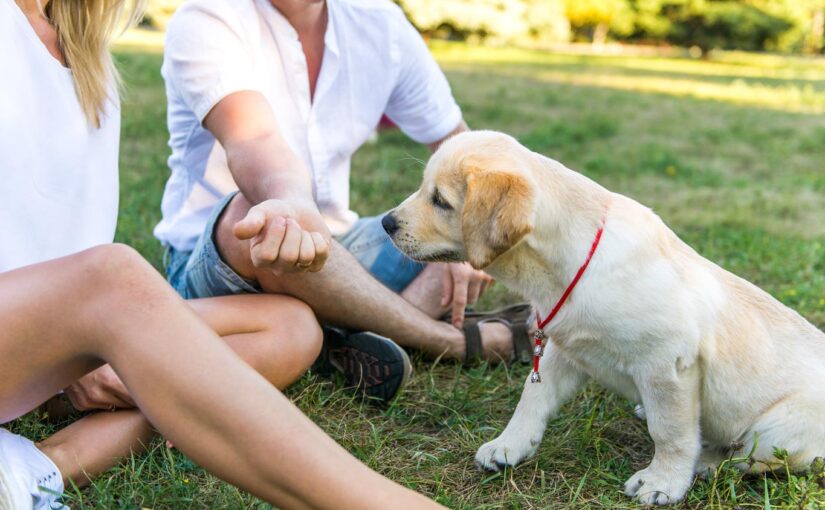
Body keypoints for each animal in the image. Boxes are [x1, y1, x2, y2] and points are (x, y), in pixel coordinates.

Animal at [384, 129, 824, 504]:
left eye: (440, 200)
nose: (387, 223)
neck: (573, 264)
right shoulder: (565, 348)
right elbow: (531, 397)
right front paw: (508, 445)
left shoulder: (668, 363)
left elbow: (671, 432)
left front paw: (663, 482)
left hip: (774, 431)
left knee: (746, 459)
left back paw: (705, 463)